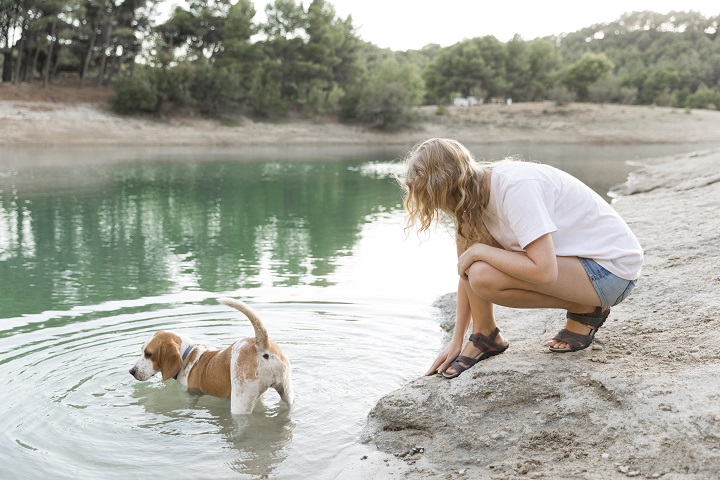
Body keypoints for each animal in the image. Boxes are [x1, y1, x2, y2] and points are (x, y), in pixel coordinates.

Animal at [129, 296, 292, 412]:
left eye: (148, 354)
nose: (131, 371)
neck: (186, 355)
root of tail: (260, 344)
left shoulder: (189, 395)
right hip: (287, 393)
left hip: (240, 403)